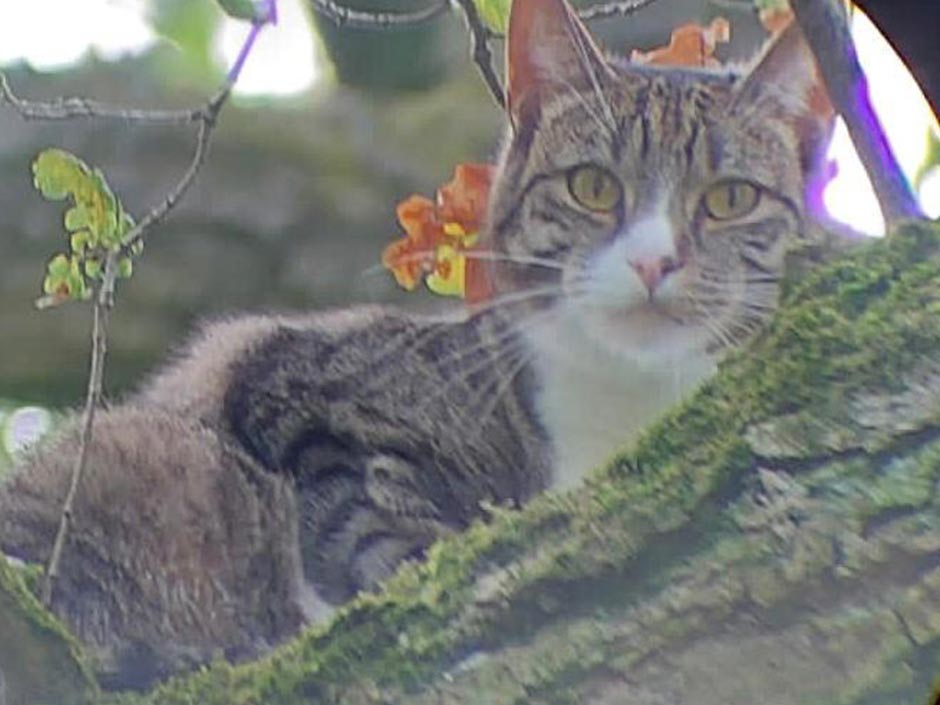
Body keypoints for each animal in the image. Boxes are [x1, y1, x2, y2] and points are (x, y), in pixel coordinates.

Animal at [0, 0, 836, 692]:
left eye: (731, 199)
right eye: (594, 186)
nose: (654, 261)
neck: (623, 405)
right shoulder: (284, 371)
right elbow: (370, 517)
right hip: (149, 458)